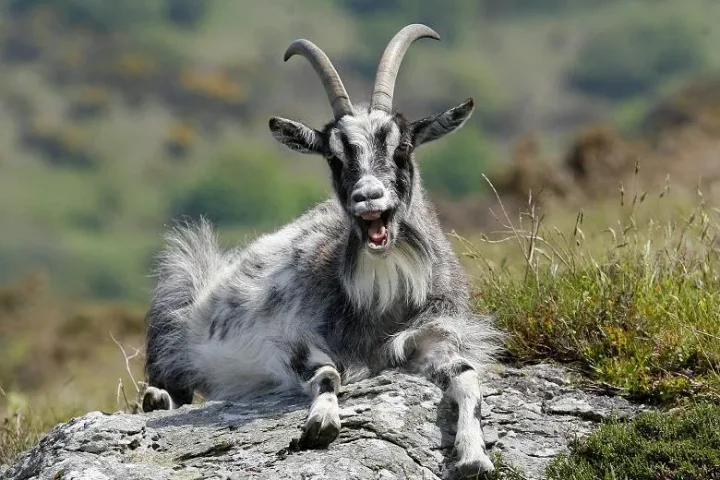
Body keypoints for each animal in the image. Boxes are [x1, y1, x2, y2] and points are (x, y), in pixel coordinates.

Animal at [142, 24, 500, 476]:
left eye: (402, 148)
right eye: (334, 157)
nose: (368, 196)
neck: (383, 301)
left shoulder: (433, 335)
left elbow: (468, 377)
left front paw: (474, 456)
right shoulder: (289, 344)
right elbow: (329, 373)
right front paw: (321, 423)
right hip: (177, 293)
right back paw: (157, 399)